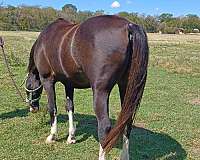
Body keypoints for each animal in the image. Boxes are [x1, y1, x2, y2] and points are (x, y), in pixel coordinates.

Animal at [24, 14, 148, 159]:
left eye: (29, 87)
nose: (32, 108)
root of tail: (128, 26)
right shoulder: (69, 83)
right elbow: (69, 107)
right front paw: (71, 137)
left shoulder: (47, 80)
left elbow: (52, 108)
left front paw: (52, 136)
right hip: (126, 88)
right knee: (127, 122)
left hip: (101, 92)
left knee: (104, 126)